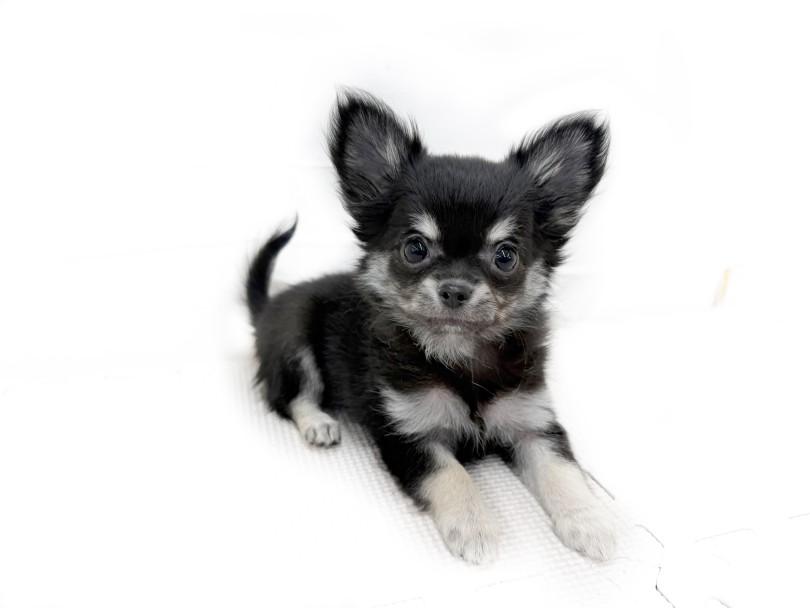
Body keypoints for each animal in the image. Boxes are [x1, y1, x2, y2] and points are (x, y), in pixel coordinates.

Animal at [246, 90, 615, 564]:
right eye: (415, 248)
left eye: (506, 256)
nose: (455, 290)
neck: (459, 355)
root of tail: (268, 306)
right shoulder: (410, 435)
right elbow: (451, 474)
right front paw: (474, 527)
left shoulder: (532, 423)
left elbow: (563, 470)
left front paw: (591, 522)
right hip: (294, 340)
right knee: (293, 397)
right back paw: (319, 423)